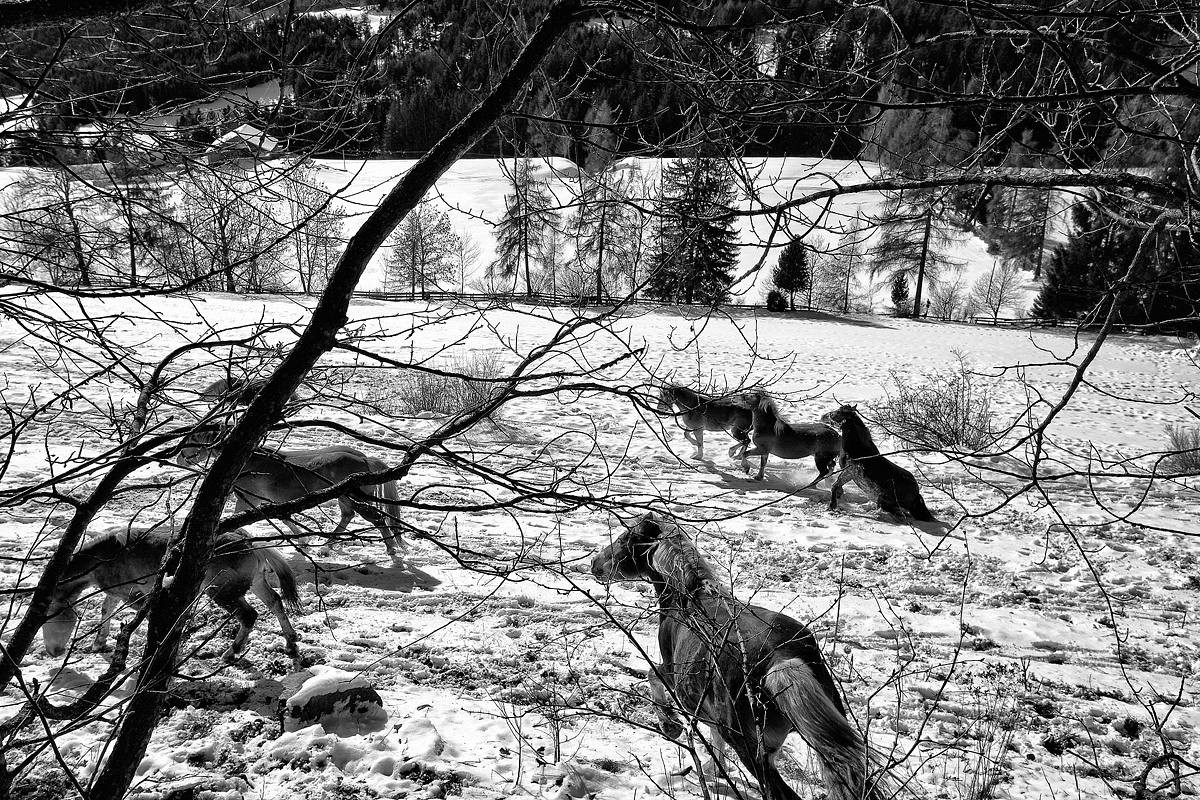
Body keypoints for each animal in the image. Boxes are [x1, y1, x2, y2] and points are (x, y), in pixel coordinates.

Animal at [42, 526, 301, 663]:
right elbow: (106, 610)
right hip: (255, 582)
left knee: (248, 616)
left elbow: (147, 615)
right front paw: (98, 643)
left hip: (221, 591)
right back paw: (291, 643)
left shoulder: (134, 595)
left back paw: (231, 652)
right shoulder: (116, 592)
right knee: (275, 603)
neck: (105, 555)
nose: (54, 652)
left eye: (48, 621)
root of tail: (250, 542)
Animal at [178, 430, 407, 566]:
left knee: (376, 519)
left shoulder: (248, 500)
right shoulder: (271, 503)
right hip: (344, 498)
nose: (179, 457)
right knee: (348, 516)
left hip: (353, 498)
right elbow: (285, 519)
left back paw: (391, 550)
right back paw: (326, 547)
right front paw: (304, 541)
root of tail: (365, 459)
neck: (250, 460)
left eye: (192, 439)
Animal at [591, 513, 889, 800]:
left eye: (624, 539)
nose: (594, 564)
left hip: (749, 747)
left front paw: (670, 725)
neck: (687, 598)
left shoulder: (672, 671)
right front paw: (714, 768)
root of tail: (781, 658)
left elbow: (653, 675)